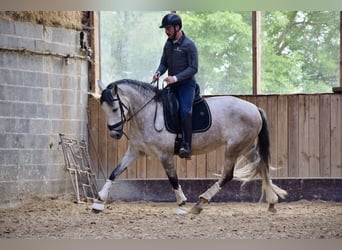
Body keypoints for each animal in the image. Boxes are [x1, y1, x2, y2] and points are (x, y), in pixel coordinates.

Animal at [89, 79, 288, 214]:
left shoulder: (165, 154)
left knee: (228, 175)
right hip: (245, 147)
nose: (115, 134)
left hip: (234, 148)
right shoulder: (135, 151)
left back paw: (201, 202)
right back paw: (272, 201)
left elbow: (173, 179)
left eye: (115, 109)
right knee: (261, 165)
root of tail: (255, 108)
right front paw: (99, 202)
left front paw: (182, 204)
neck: (148, 113)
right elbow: (115, 172)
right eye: (104, 110)